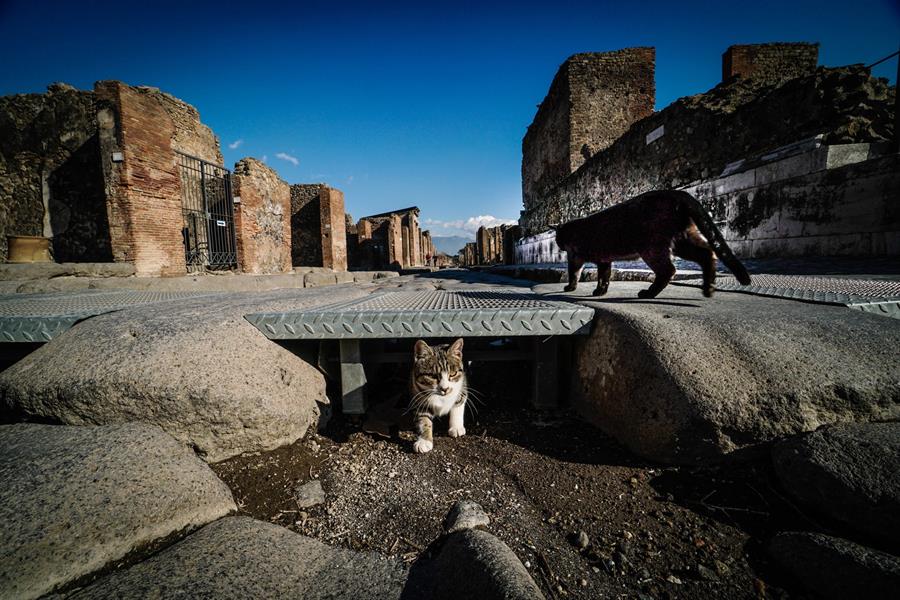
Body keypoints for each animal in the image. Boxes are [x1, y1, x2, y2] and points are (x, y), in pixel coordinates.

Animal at [556, 190, 752, 298]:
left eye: (558, 238)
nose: (558, 244)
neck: (570, 230)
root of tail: (678, 193)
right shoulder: (604, 260)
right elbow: (604, 277)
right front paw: (600, 291)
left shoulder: (575, 257)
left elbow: (574, 273)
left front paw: (570, 288)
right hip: (682, 241)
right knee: (707, 254)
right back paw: (708, 288)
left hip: (652, 247)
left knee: (668, 270)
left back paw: (648, 293)